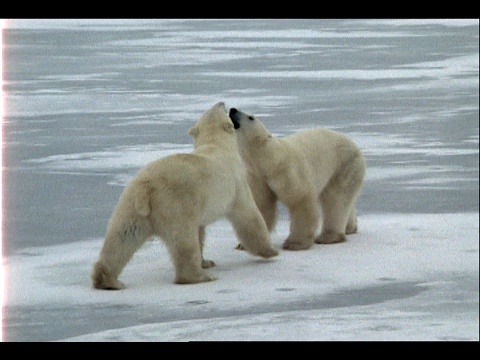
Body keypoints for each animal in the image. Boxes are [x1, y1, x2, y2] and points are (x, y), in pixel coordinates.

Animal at [91, 102, 278, 290]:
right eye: (221, 109)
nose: (224, 103)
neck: (216, 145)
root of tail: (147, 187)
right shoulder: (236, 184)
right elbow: (248, 216)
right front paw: (270, 251)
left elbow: (200, 230)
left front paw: (206, 261)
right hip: (175, 206)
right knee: (184, 241)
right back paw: (200, 276)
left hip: (130, 205)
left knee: (122, 237)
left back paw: (108, 280)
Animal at [228, 107, 364, 250]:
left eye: (250, 117)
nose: (233, 109)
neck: (271, 161)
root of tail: (355, 146)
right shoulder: (258, 177)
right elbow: (261, 205)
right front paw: (244, 245)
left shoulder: (288, 171)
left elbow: (301, 201)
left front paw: (294, 243)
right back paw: (350, 227)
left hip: (345, 166)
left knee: (336, 199)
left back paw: (328, 237)